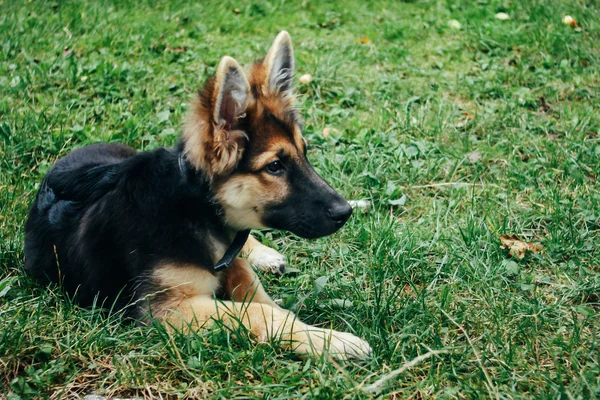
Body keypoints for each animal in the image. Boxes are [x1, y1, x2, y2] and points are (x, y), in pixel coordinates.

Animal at [25, 29, 372, 358]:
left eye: (305, 152)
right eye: (275, 166)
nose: (345, 212)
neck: (194, 207)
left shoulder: (228, 266)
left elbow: (260, 296)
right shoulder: (167, 309)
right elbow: (260, 312)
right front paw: (331, 340)